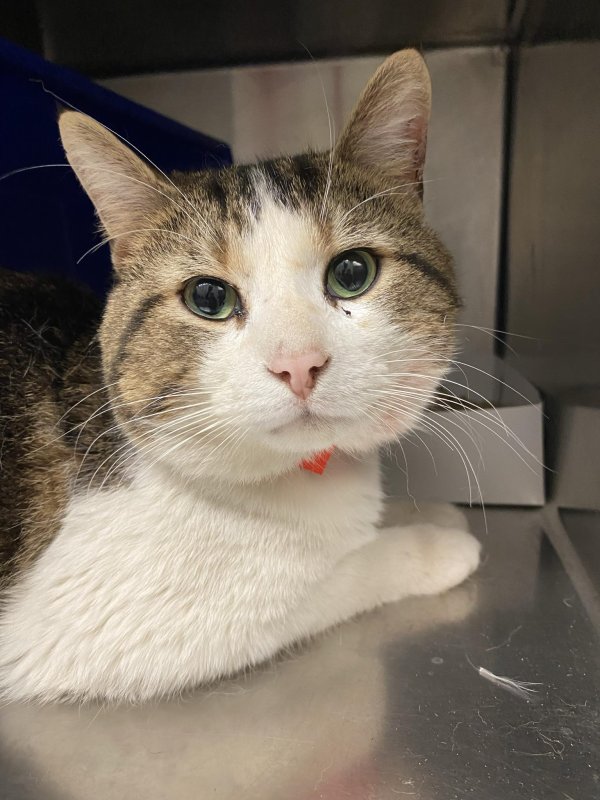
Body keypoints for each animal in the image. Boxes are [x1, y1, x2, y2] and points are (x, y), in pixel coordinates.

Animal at [0, 49, 480, 704]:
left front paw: (430, 511)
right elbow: (335, 575)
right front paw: (436, 544)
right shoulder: (124, 629)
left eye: (353, 272)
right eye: (208, 297)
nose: (298, 362)